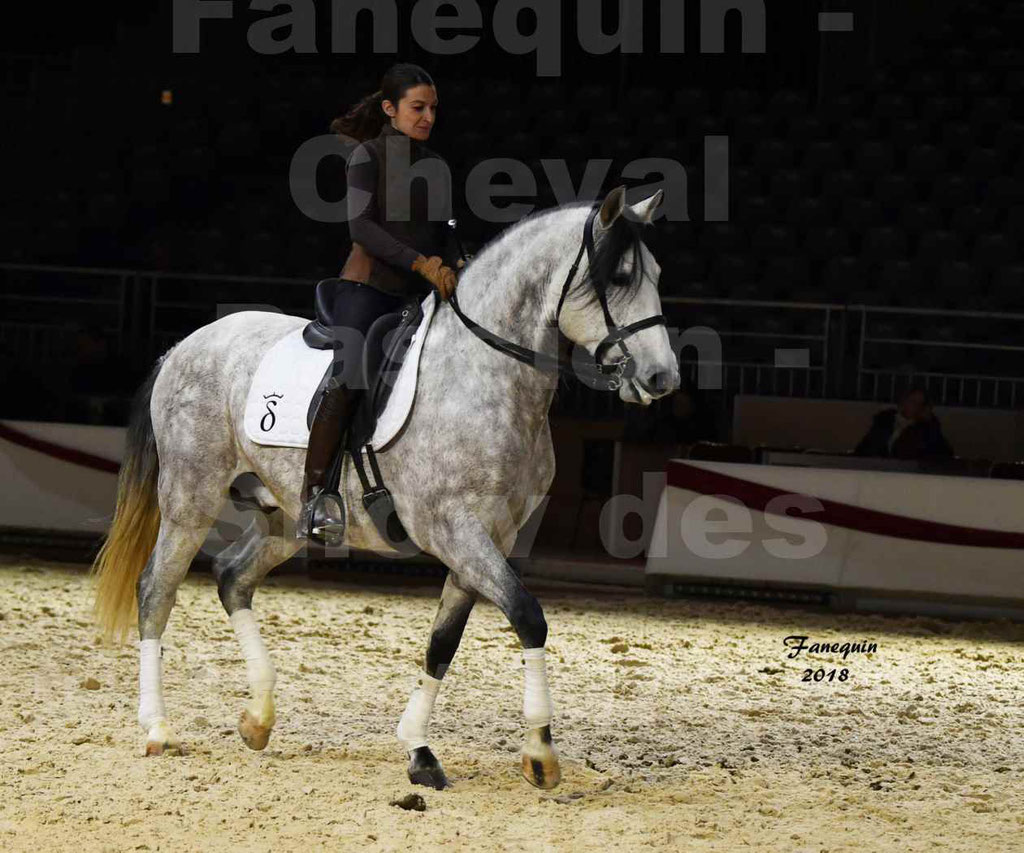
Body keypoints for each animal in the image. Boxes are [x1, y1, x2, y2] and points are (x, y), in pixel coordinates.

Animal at [90, 186, 679, 790]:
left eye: (656, 273)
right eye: (619, 276)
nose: (663, 379)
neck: (485, 374)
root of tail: (181, 347)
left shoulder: (492, 536)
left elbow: (443, 642)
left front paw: (419, 751)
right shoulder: (455, 528)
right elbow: (527, 614)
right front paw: (540, 753)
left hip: (284, 516)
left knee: (232, 576)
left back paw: (257, 718)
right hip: (192, 497)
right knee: (157, 588)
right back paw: (158, 728)